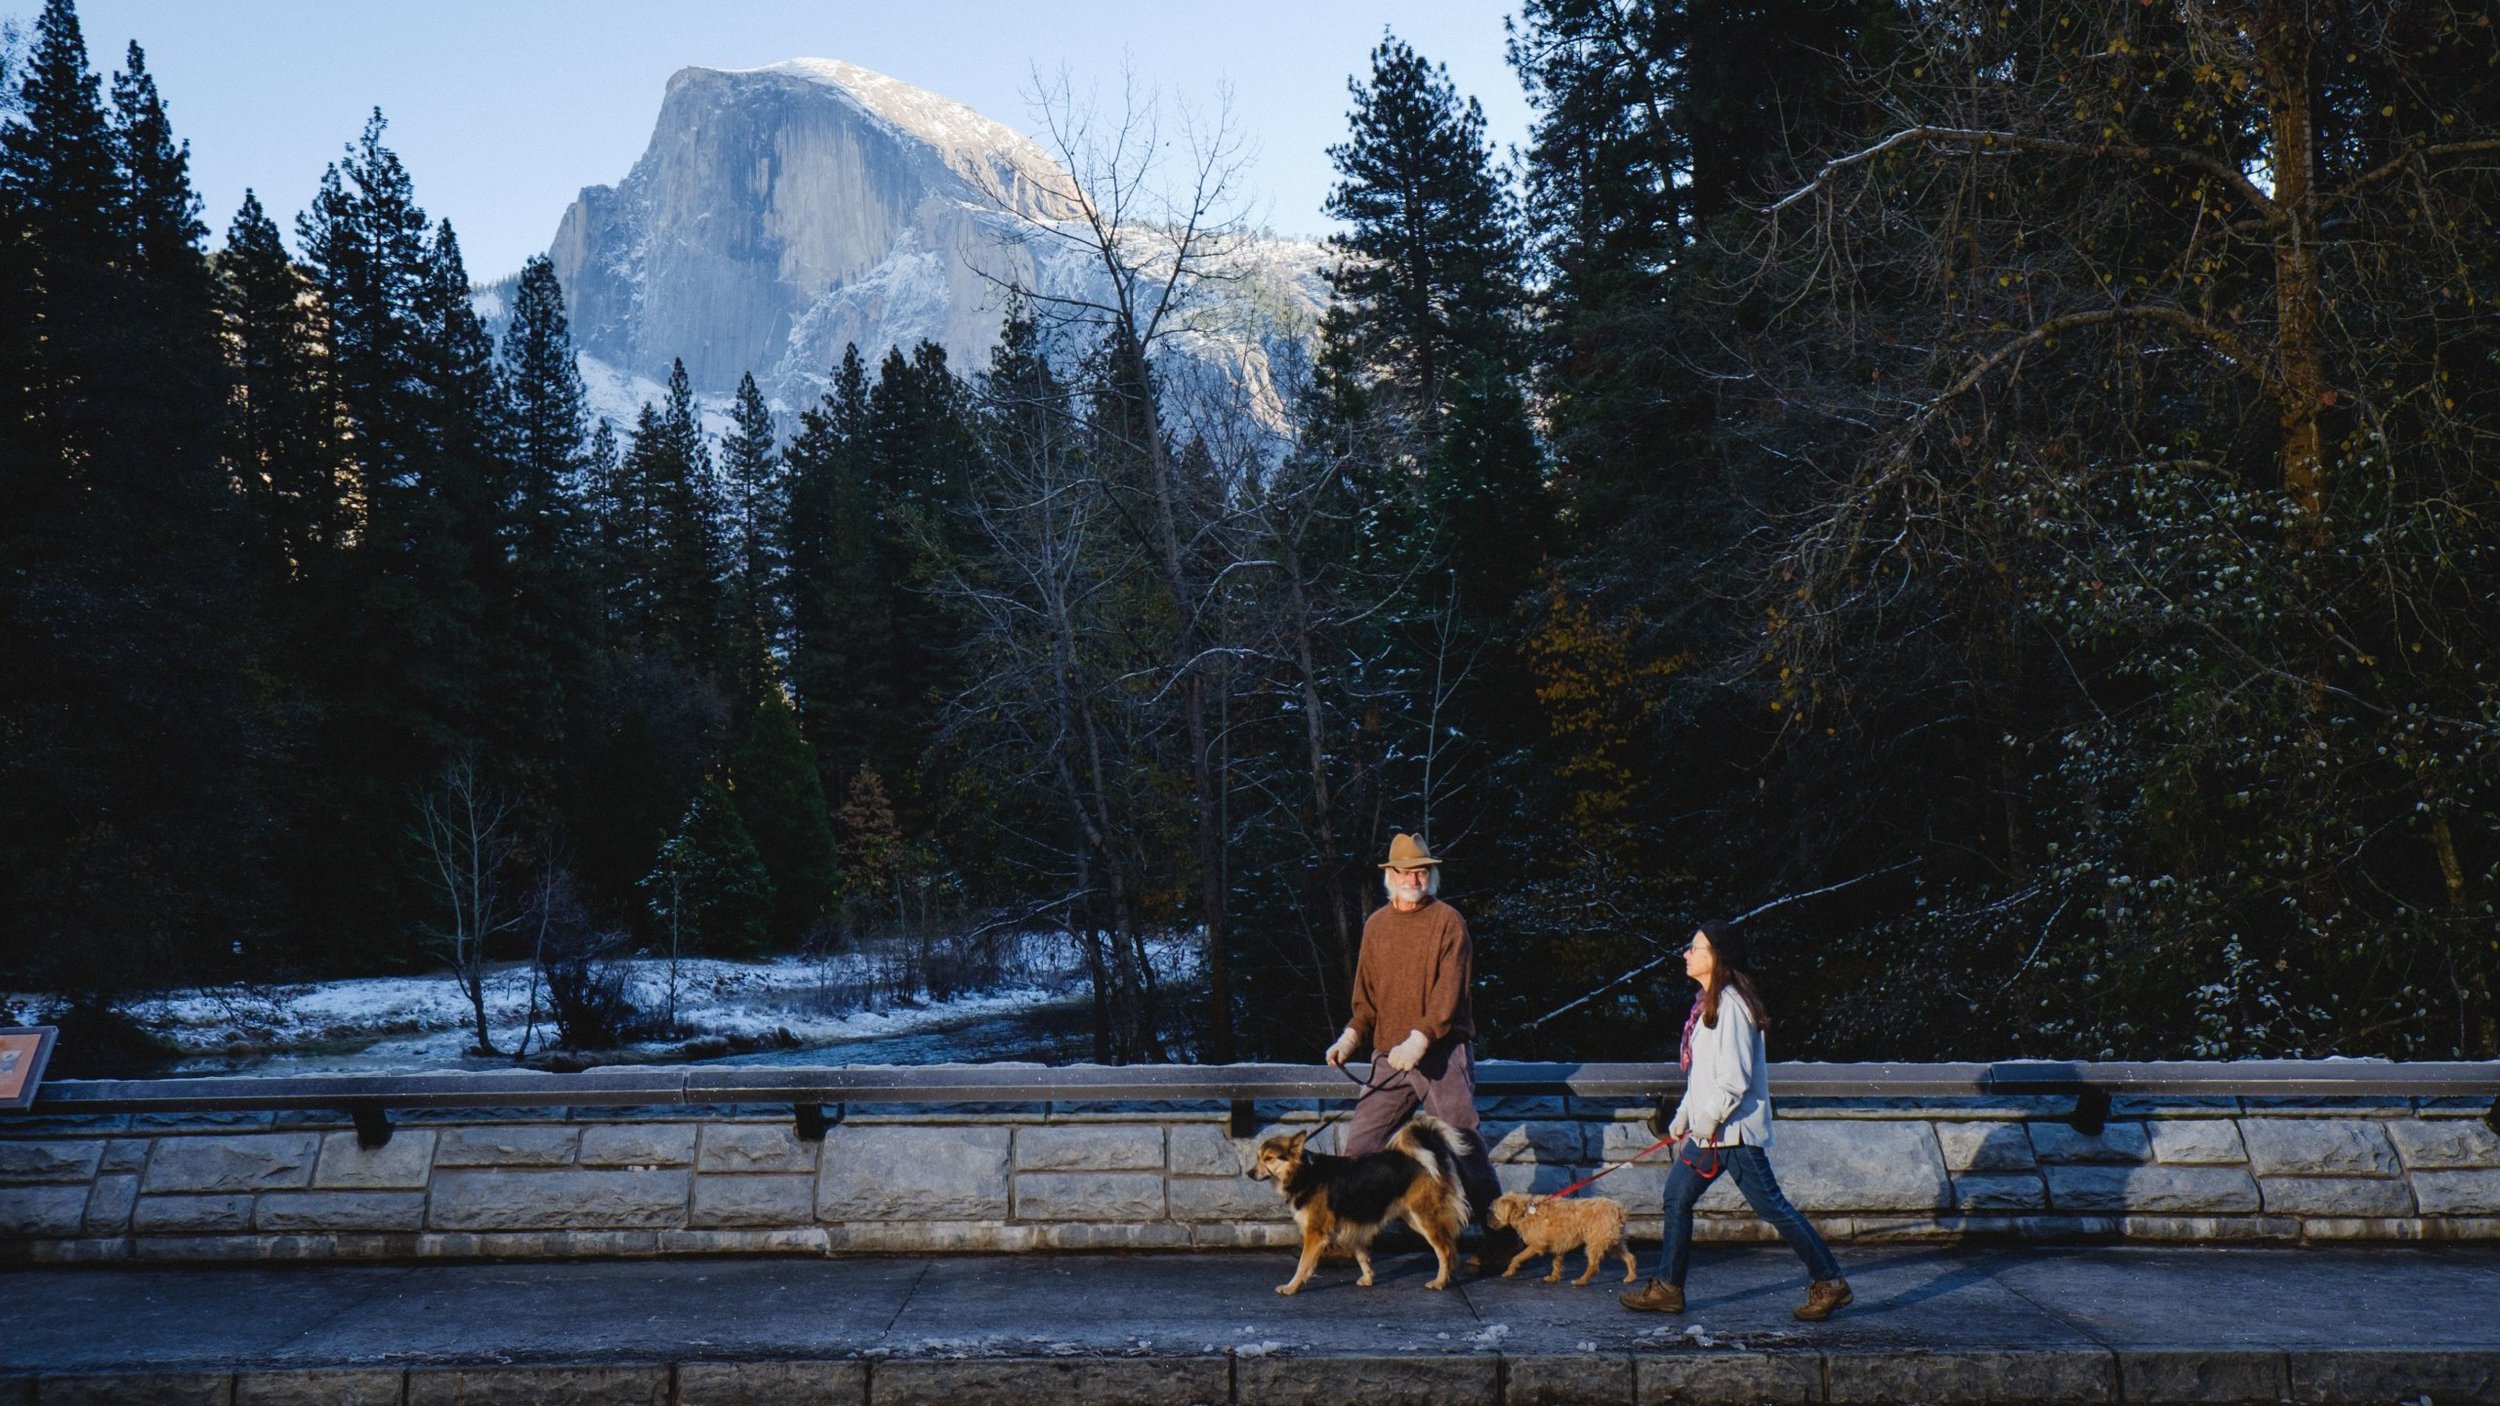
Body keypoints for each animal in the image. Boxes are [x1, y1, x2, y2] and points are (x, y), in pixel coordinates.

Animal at [1245, 1110, 1460, 1290]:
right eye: (1258, 1157)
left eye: (1269, 1158)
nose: (1249, 1173)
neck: (1304, 1173)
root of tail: (1429, 1155)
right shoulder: (1352, 1226)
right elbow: (1362, 1257)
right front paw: (1368, 1278)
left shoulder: (1315, 1233)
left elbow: (1303, 1265)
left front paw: (1291, 1287)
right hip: (1413, 1217)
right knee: (1448, 1246)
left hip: (1424, 1217)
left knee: (1445, 1250)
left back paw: (1440, 1281)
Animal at [1480, 1185, 1640, 1275]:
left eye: (1492, 1212)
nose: (1486, 1219)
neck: (1525, 1210)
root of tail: (1618, 1209)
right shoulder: (1556, 1245)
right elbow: (1556, 1262)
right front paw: (1553, 1278)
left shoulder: (1536, 1246)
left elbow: (1518, 1257)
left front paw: (1509, 1270)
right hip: (1613, 1242)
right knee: (1629, 1257)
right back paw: (1630, 1277)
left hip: (1596, 1242)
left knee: (1594, 1265)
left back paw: (1580, 1281)